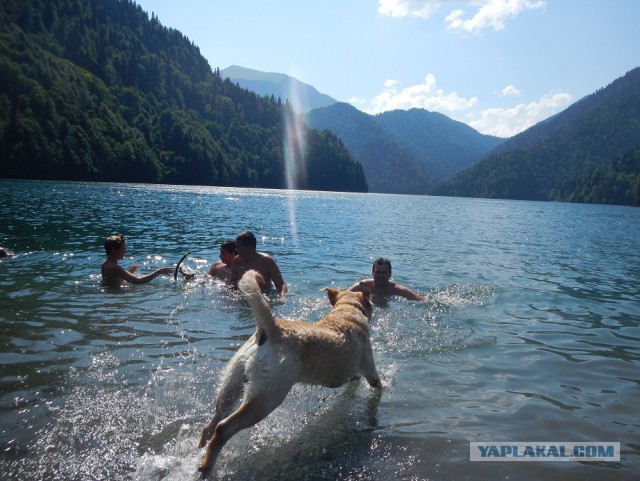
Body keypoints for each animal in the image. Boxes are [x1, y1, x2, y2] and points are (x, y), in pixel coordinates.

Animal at [198, 268, 380, 474]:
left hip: (233, 382)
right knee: (223, 428)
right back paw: (206, 467)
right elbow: (377, 386)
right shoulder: (370, 370)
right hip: (267, 398)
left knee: (212, 423)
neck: (346, 311)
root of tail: (271, 329)